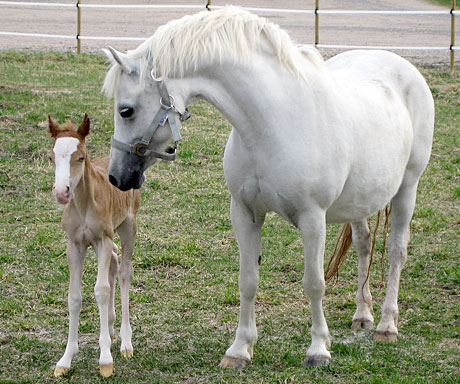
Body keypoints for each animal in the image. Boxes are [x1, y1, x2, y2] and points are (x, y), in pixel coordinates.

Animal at [101, 6, 434, 366]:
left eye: (126, 110)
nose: (116, 177)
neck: (271, 123)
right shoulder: (244, 213)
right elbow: (248, 280)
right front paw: (239, 349)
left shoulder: (313, 219)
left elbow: (314, 283)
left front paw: (318, 348)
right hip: (358, 203)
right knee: (364, 245)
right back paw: (363, 315)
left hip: (407, 189)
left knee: (396, 250)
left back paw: (387, 324)